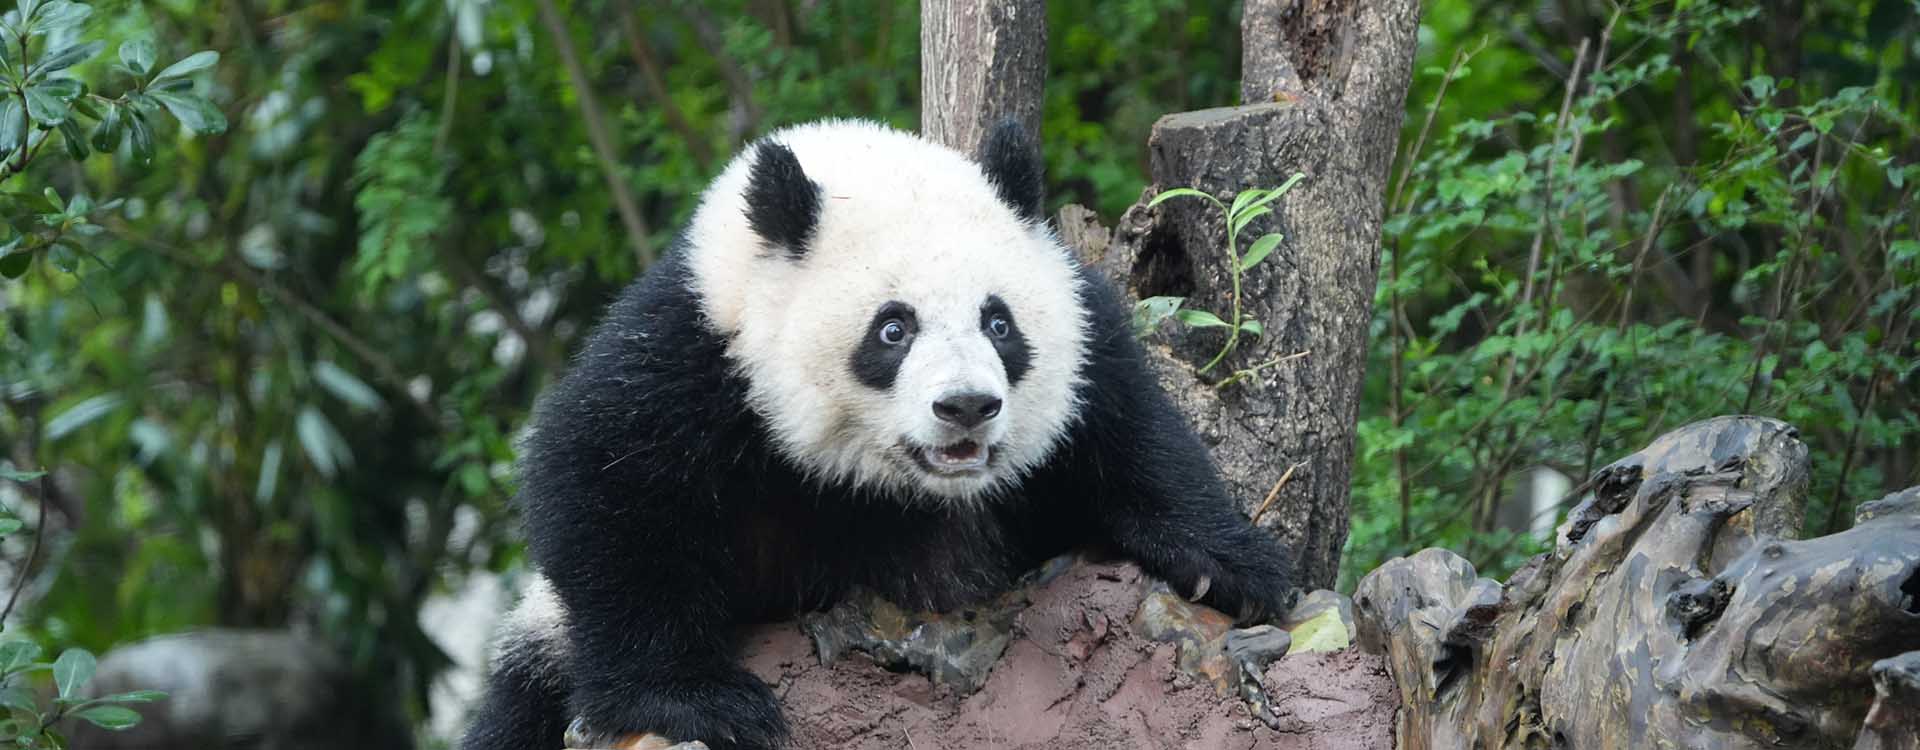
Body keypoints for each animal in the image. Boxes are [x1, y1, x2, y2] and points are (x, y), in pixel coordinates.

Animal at [460, 119, 1297, 750]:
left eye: (999, 323)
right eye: (893, 329)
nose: (966, 407)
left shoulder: (1086, 326)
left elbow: (1131, 431)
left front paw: (1229, 564)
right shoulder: (692, 355)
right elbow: (607, 485)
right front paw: (700, 701)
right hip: (539, 647)